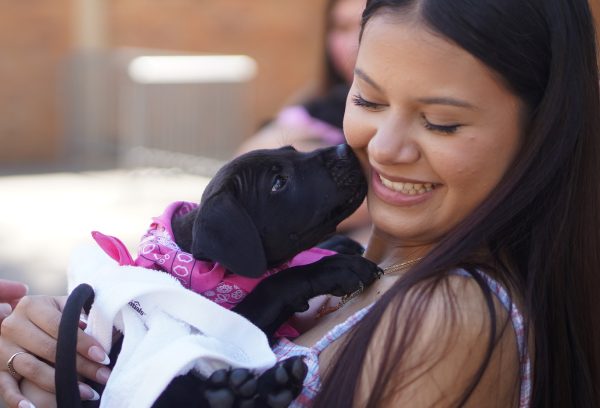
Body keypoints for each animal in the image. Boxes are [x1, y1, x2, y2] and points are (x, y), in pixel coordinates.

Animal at [56, 145, 380, 406]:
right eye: (279, 183)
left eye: (293, 150)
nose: (345, 149)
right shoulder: (225, 330)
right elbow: (275, 283)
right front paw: (336, 267)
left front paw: (337, 245)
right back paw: (252, 389)